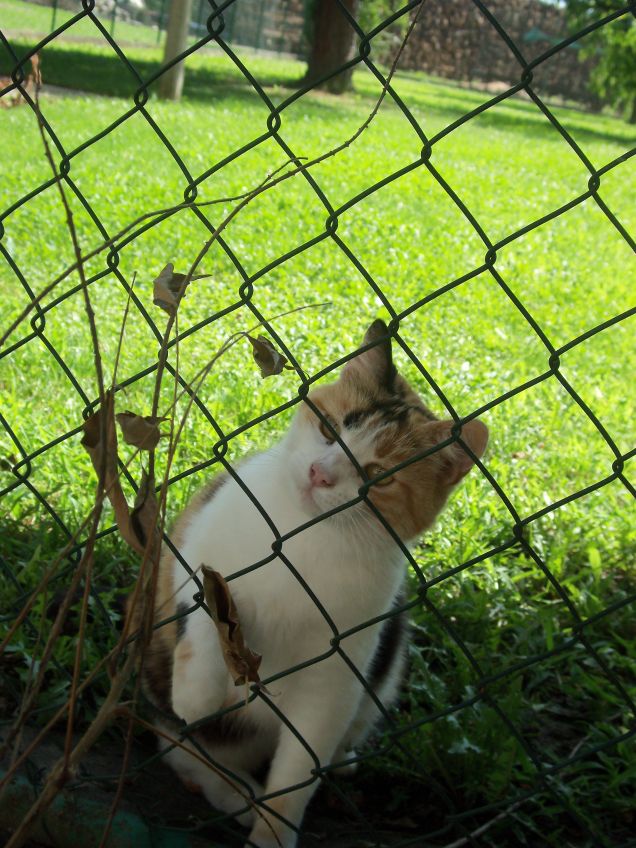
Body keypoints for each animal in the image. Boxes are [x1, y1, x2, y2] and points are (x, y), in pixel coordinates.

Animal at [140, 320, 486, 848]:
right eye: (329, 428)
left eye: (379, 476)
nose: (319, 474)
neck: (306, 539)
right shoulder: (197, 543)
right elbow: (211, 604)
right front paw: (197, 693)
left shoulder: (335, 680)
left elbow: (297, 775)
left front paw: (273, 835)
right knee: (183, 751)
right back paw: (234, 792)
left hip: (383, 672)